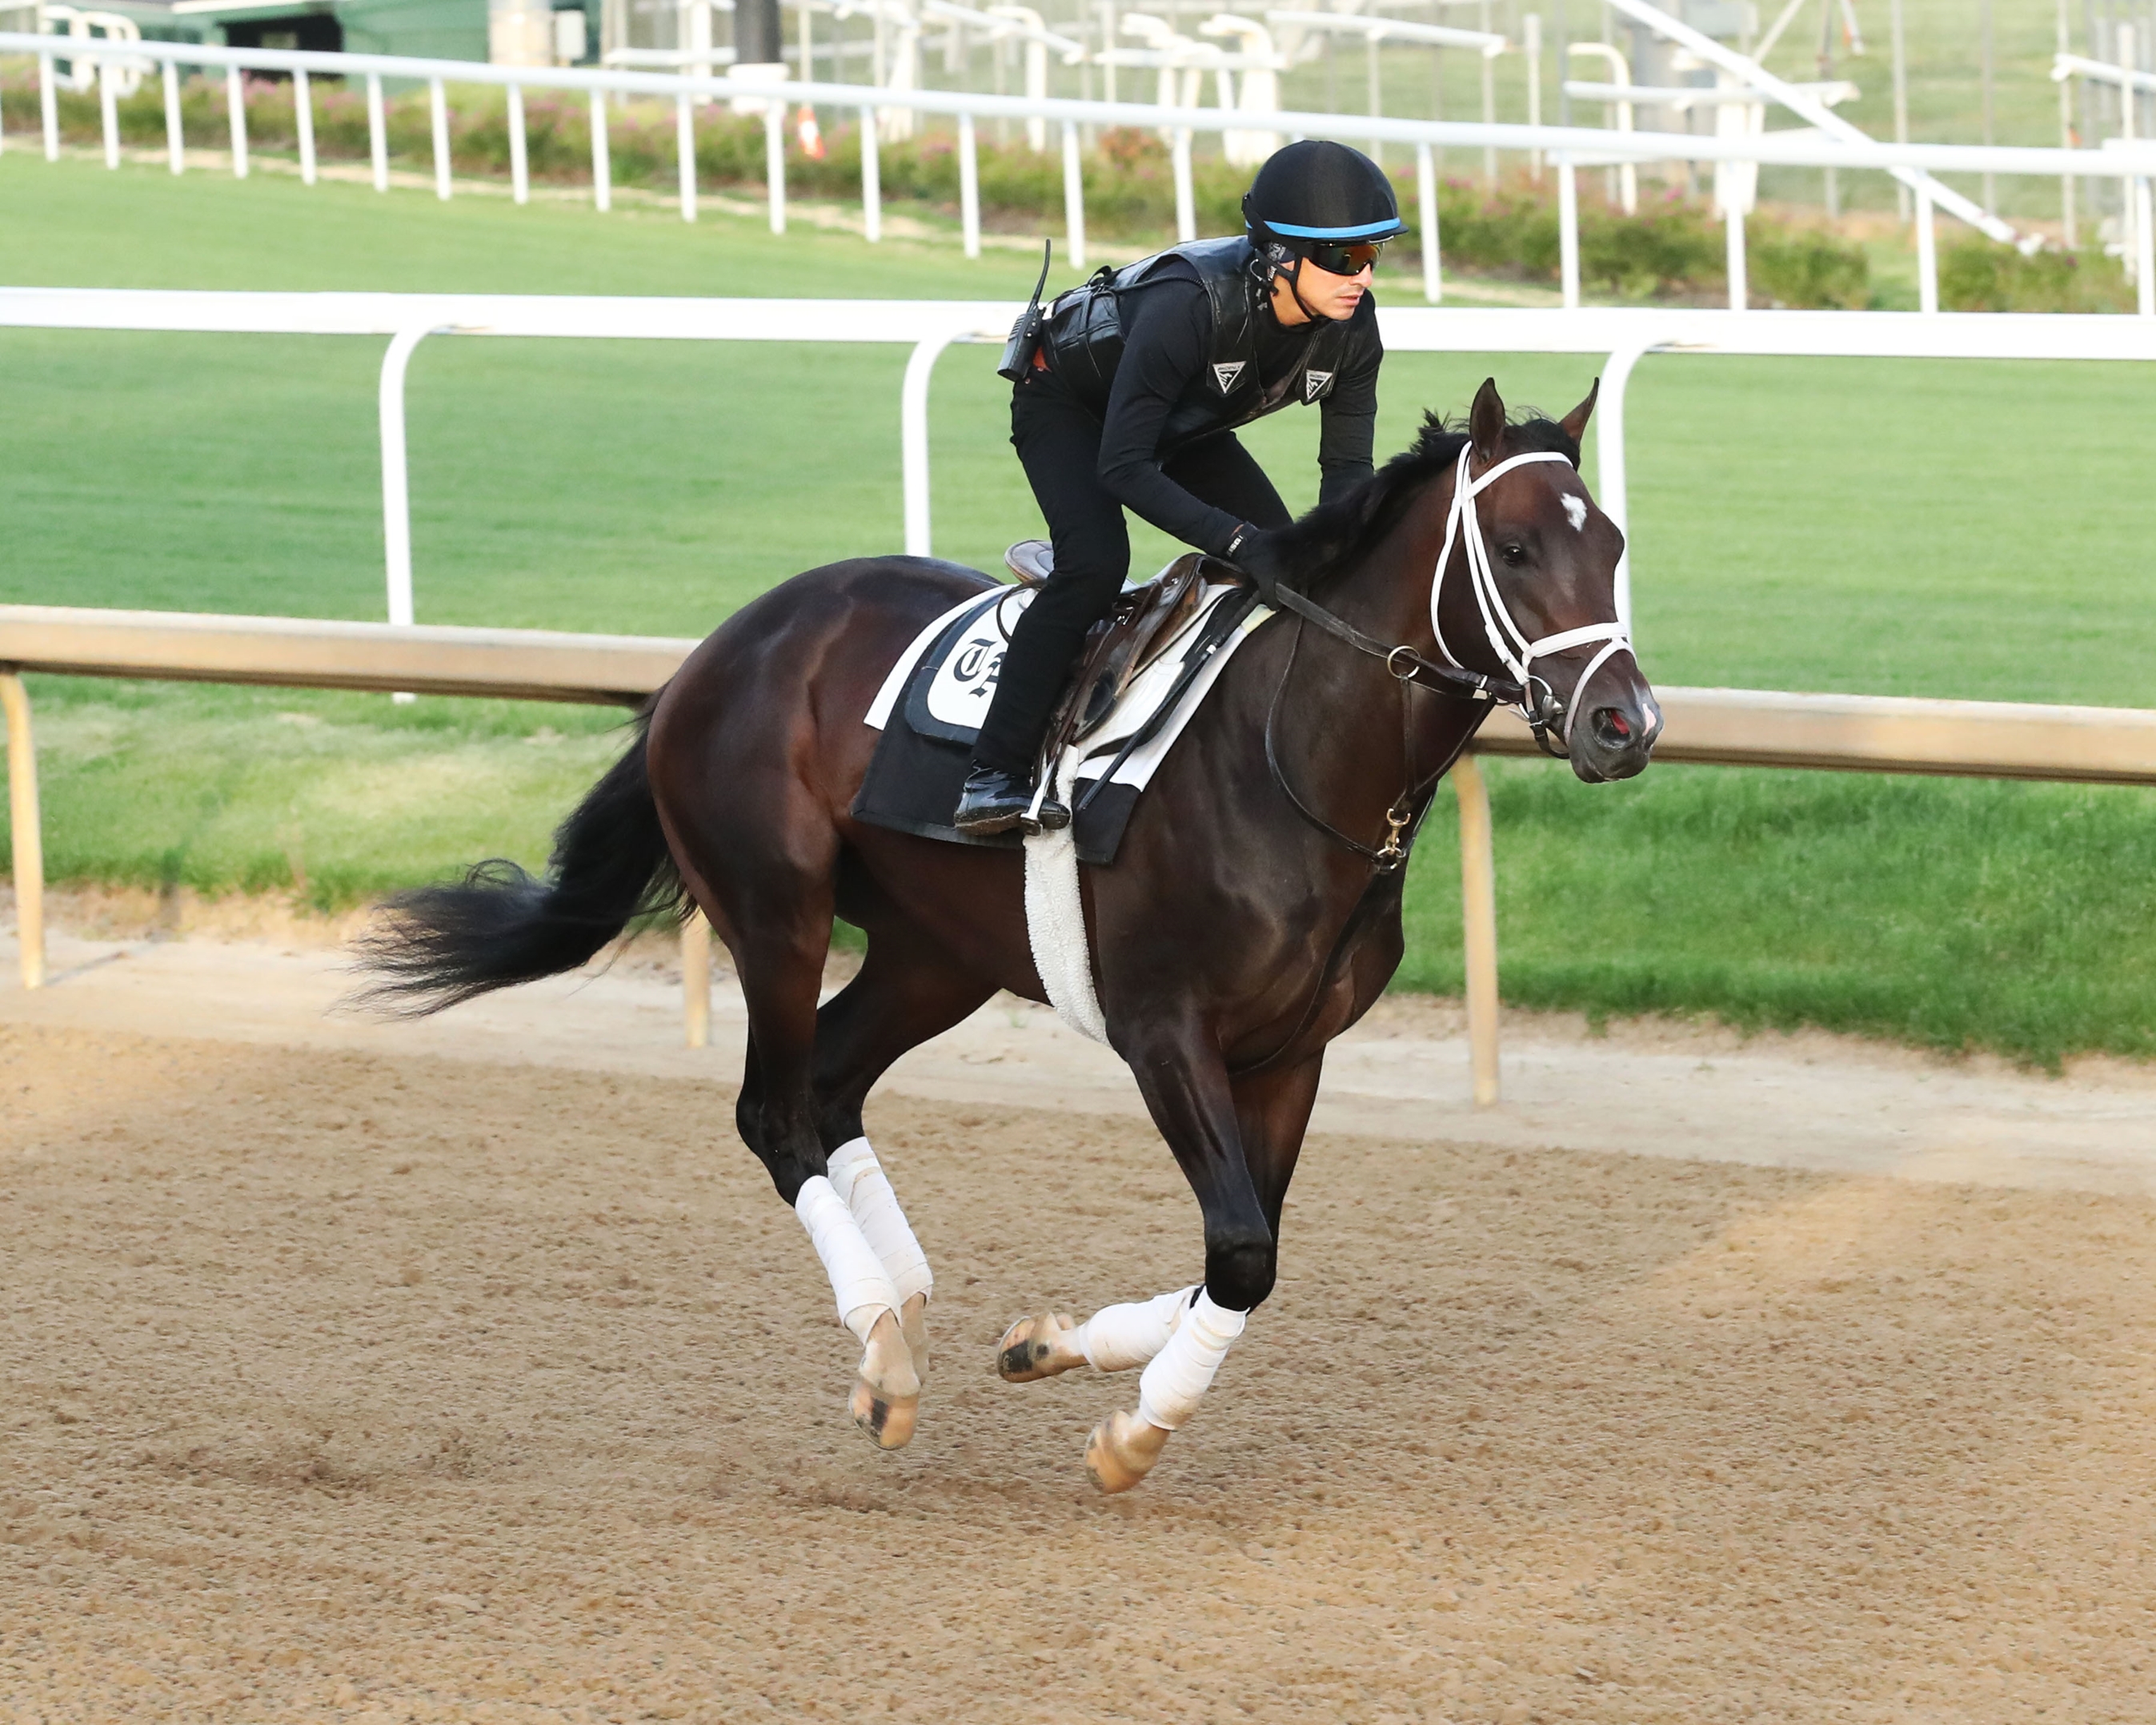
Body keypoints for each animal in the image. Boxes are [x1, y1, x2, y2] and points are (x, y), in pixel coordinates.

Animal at [362, 377, 1655, 1492]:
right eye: (1517, 548)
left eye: (1612, 545)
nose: (1625, 722)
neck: (1294, 761)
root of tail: (708, 657)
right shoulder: (1161, 1030)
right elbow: (1241, 1245)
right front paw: (1132, 1432)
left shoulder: (1294, 1052)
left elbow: (1244, 1256)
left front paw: (1054, 1345)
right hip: (776, 912)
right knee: (773, 1110)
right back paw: (883, 1349)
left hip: (936, 955)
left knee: (829, 1086)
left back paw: (899, 1318)